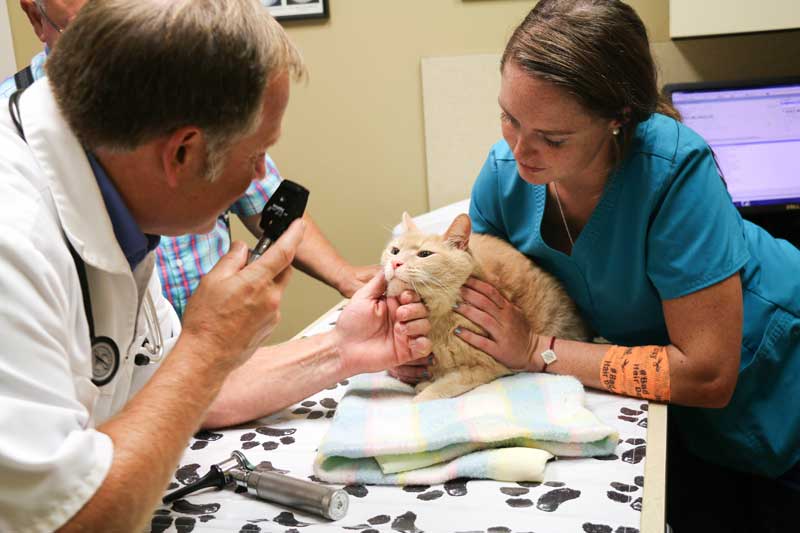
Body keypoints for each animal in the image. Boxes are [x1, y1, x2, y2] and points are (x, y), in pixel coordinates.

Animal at [384, 212, 592, 400]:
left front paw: (423, 392)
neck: (439, 319)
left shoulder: (487, 367)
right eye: (394, 251)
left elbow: (440, 388)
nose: (395, 263)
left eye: (424, 254)